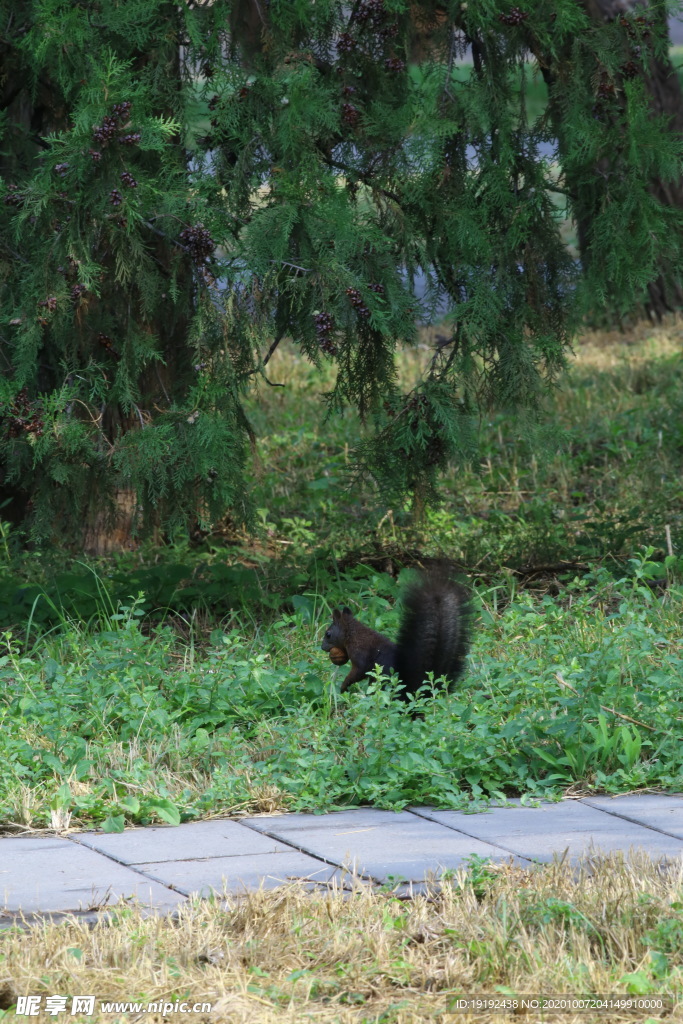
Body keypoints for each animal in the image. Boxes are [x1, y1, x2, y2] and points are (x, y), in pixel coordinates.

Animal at [321, 565, 471, 700]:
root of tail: (415, 687)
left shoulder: (359, 652)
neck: (353, 633)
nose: (322, 647)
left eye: (328, 634)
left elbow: (359, 670)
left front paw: (343, 686)